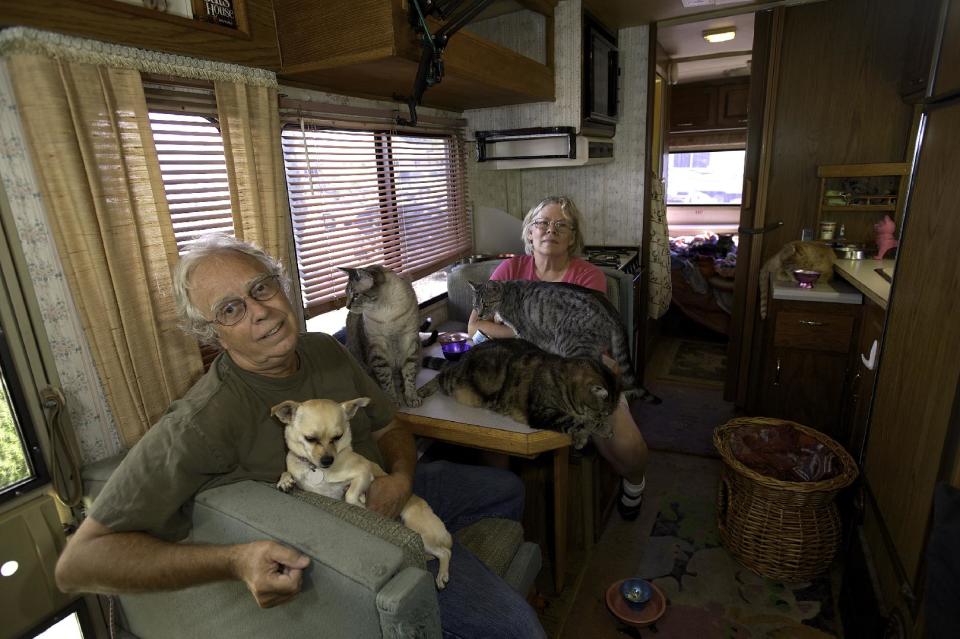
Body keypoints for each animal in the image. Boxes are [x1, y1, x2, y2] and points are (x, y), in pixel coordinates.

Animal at [270, 400, 450, 592]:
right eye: (310, 438)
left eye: (338, 437)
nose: (328, 460)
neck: (319, 470)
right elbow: (287, 472)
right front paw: (285, 481)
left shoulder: (363, 474)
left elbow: (350, 495)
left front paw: (361, 503)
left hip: (420, 533)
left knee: (445, 552)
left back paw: (442, 575)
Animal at [344, 266, 422, 408]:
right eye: (346, 294)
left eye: (356, 295)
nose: (347, 306)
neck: (387, 313)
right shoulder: (377, 349)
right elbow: (386, 379)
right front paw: (393, 401)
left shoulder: (410, 341)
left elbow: (409, 375)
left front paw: (411, 397)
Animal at [422, 340, 624, 450]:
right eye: (603, 413)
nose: (605, 418)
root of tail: (463, 357)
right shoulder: (542, 413)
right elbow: (579, 421)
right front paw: (601, 428)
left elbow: (578, 422)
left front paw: (581, 437)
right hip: (457, 384)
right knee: (440, 375)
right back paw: (421, 391)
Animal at [470, 282, 660, 404]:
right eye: (475, 305)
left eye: (486, 304)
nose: (479, 315)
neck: (507, 295)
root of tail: (613, 311)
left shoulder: (527, 332)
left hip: (574, 344)